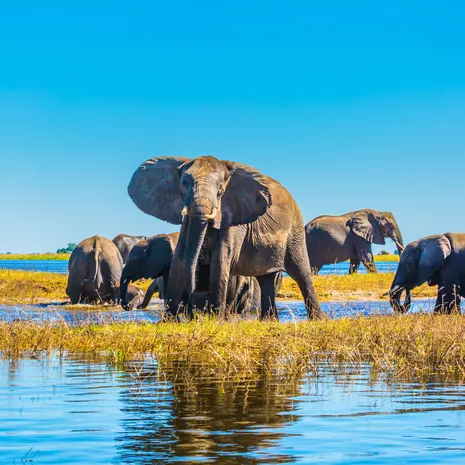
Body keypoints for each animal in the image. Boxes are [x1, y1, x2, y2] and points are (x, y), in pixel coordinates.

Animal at [128, 155, 322, 320]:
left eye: (221, 189)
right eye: (184, 183)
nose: (192, 291)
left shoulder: (233, 218)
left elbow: (221, 260)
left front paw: (215, 320)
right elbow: (179, 258)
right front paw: (169, 322)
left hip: (295, 231)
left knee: (301, 274)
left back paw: (317, 320)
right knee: (264, 279)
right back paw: (269, 321)